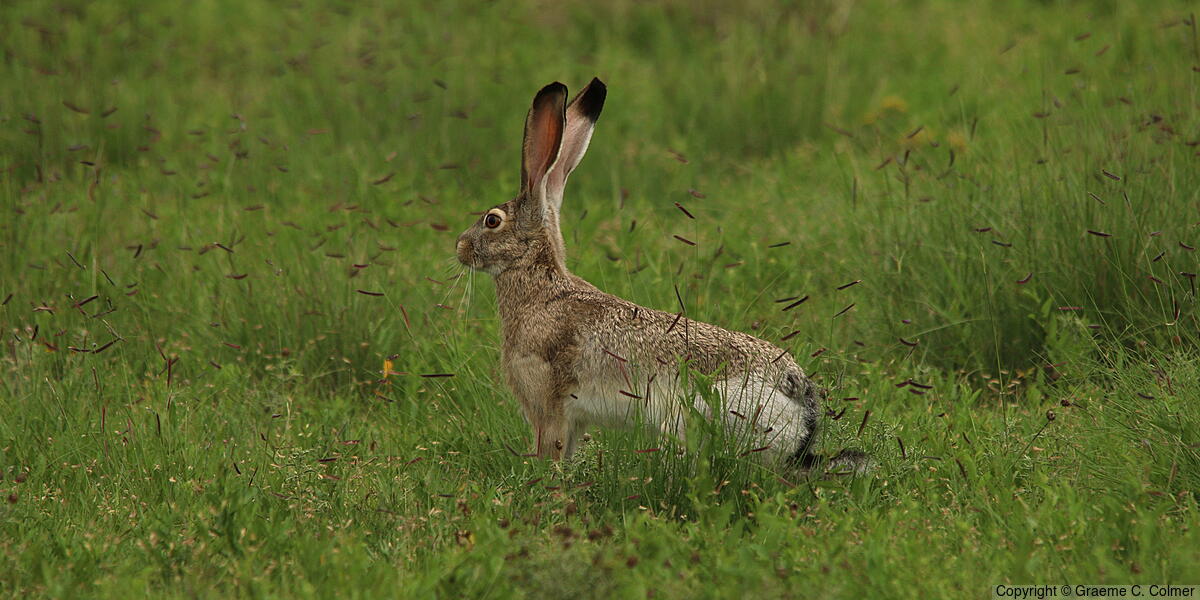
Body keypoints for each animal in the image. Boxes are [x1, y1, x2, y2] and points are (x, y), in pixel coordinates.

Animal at [456, 78, 869, 474]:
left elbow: (551, 451)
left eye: (492, 221)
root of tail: (800, 401)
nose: (460, 247)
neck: (540, 281)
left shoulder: (548, 404)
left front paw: (547, 485)